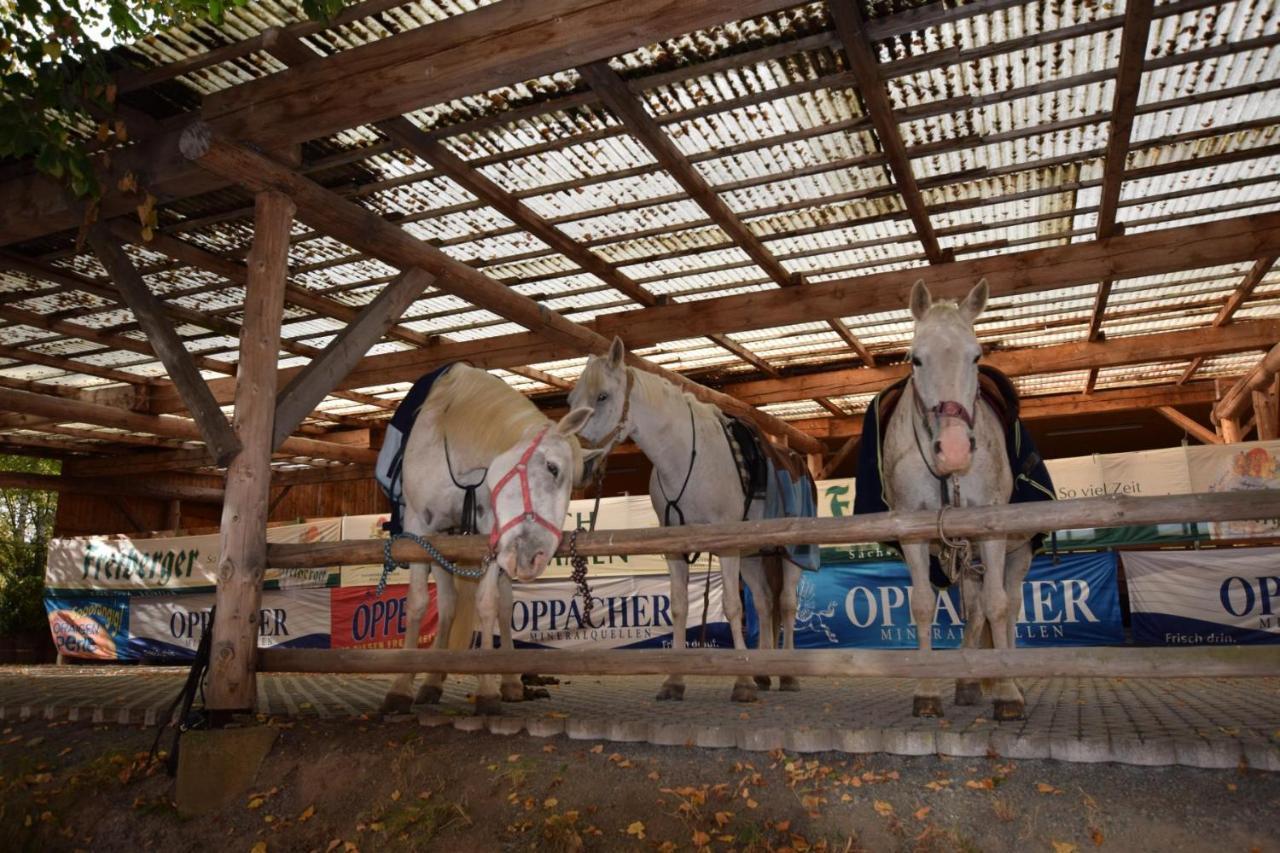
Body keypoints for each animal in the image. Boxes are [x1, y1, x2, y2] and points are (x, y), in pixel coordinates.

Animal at [568, 335, 798, 701]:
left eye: (602, 396)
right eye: (571, 401)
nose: (579, 462)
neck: (683, 456)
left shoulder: (726, 545)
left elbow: (732, 606)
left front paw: (742, 682)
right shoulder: (675, 547)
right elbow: (678, 607)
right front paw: (674, 680)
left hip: (790, 551)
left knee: (787, 603)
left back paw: (787, 675)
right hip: (752, 555)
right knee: (764, 602)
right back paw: (763, 672)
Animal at [885, 279, 1034, 717]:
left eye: (976, 356)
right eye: (915, 359)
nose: (953, 451)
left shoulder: (992, 528)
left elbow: (998, 606)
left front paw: (1007, 693)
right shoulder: (913, 532)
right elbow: (922, 605)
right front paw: (927, 691)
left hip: (1017, 553)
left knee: (1005, 605)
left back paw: (1008, 679)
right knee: (976, 606)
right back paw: (969, 683)